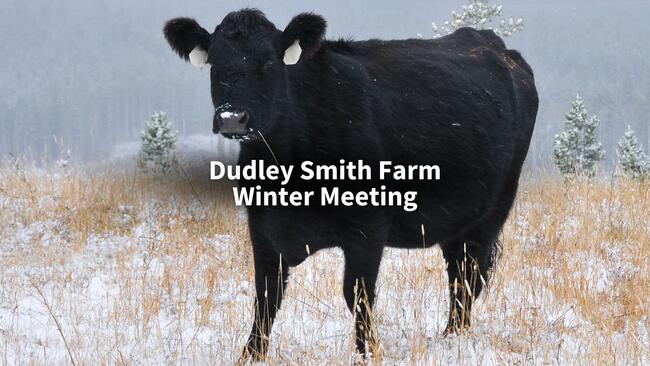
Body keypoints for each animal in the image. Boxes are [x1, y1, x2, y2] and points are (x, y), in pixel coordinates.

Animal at [163, 7, 536, 360]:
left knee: (466, 277)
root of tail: (493, 44)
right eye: (214, 63)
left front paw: (368, 352)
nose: (232, 118)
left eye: (268, 62)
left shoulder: (368, 231)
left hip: (491, 213)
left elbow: (357, 294)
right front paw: (252, 354)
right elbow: (266, 295)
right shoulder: (264, 228)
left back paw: (455, 337)